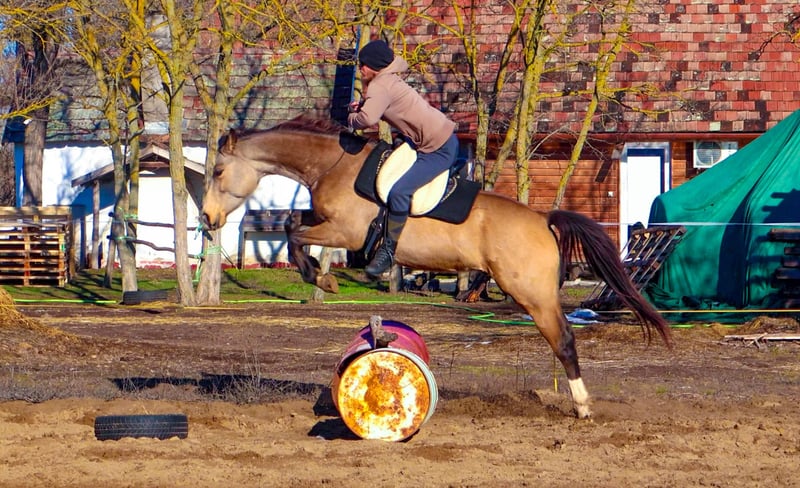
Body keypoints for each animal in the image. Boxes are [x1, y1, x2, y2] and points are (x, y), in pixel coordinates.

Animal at [201, 115, 672, 419]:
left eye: (219, 171)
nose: (207, 218)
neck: (332, 164)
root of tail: (543, 219)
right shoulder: (326, 224)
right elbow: (291, 223)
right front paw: (319, 274)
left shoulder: (346, 233)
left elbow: (296, 234)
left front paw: (321, 277)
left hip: (532, 295)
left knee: (565, 341)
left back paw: (582, 405)